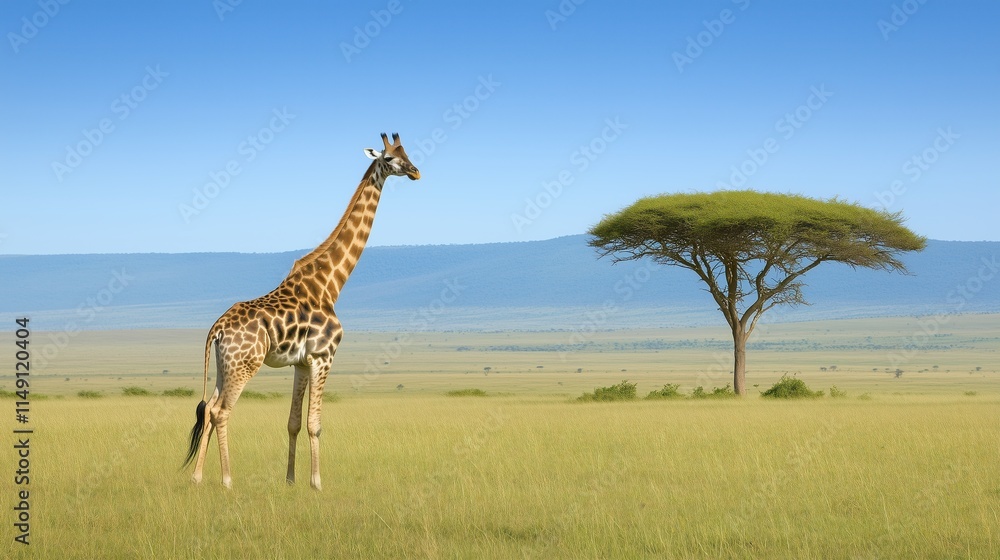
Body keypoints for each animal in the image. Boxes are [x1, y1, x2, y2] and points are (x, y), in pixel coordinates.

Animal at [183, 132, 420, 490]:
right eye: (390, 159)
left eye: (408, 154)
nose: (416, 172)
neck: (330, 282)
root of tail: (217, 329)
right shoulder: (324, 356)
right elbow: (314, 424)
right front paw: (317, 483)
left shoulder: (301, 363)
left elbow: (293, 422)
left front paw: (291, 480)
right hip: (244, 366)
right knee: (222, 412)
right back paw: (226, 480)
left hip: (225, 366)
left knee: (209, 409)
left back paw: (197, 478)